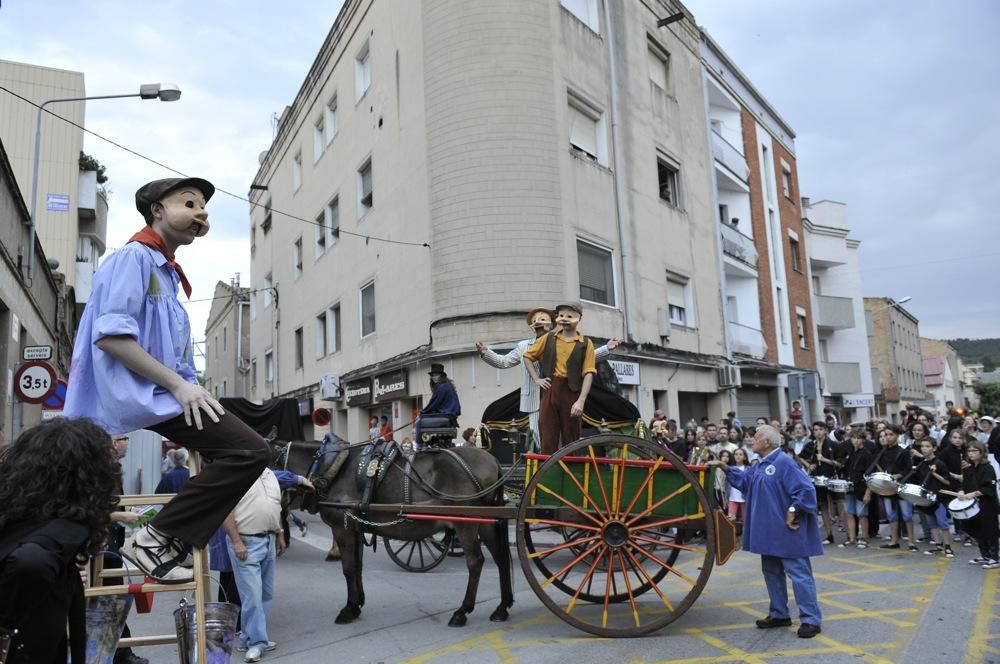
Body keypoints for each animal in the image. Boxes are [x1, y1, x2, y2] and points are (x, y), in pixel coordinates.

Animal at [268, 438, 516, 624]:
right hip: (485, 522)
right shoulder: (356, 528)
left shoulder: (342, 527)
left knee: (475, 562)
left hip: (466, 523)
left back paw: (463, 610)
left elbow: (348, 568)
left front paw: (348, 609)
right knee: (501, 557)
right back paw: (502, 607)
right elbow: (357, 567)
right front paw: (357, 604)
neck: (329, 468)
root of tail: (492, 459)